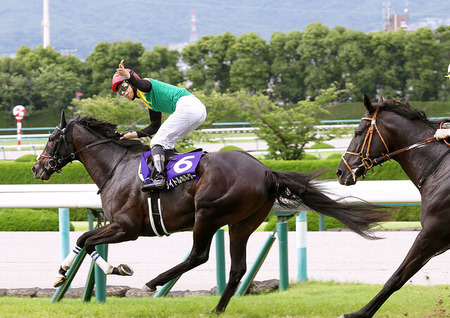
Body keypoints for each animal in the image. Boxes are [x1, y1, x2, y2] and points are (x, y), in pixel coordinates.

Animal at [31, 112, 390, 314]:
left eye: (51, 138)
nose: (37, 167)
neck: (116, 168)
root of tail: (266, 171)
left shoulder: (127, 227)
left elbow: (87, 240)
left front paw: (110, 269)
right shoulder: (121, 226)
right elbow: (85, 240)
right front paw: (69, 274)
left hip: (207, 213)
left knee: (199, 255)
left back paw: (155, 282)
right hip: (243, 223)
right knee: (237, 268)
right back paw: (217, 308)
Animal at [338, 94, 450, 318]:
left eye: (357, 132)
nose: (340, 171)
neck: (439, 169)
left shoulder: (431, 235)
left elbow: (396, 279)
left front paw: (358, 314)